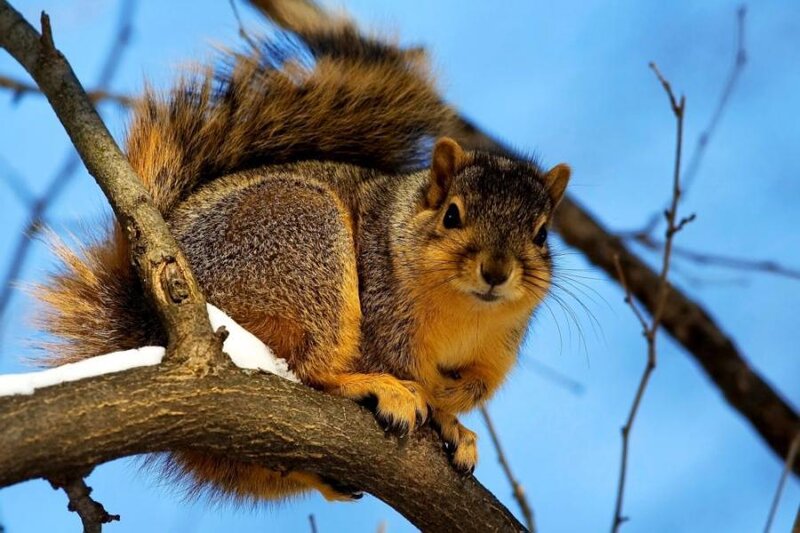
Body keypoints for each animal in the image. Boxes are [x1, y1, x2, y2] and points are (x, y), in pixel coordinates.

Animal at [37, 20, 570, 502]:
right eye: (452, 215)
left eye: (542, 234)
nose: (496, 272)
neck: (466, 315)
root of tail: (151, 322)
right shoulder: (382, 307)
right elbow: (399, 364)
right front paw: (436, 410)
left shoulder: (494, 351)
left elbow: (471, 386)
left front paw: (454, 419)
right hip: (304, 243)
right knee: (311, 369)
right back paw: (373, 388)